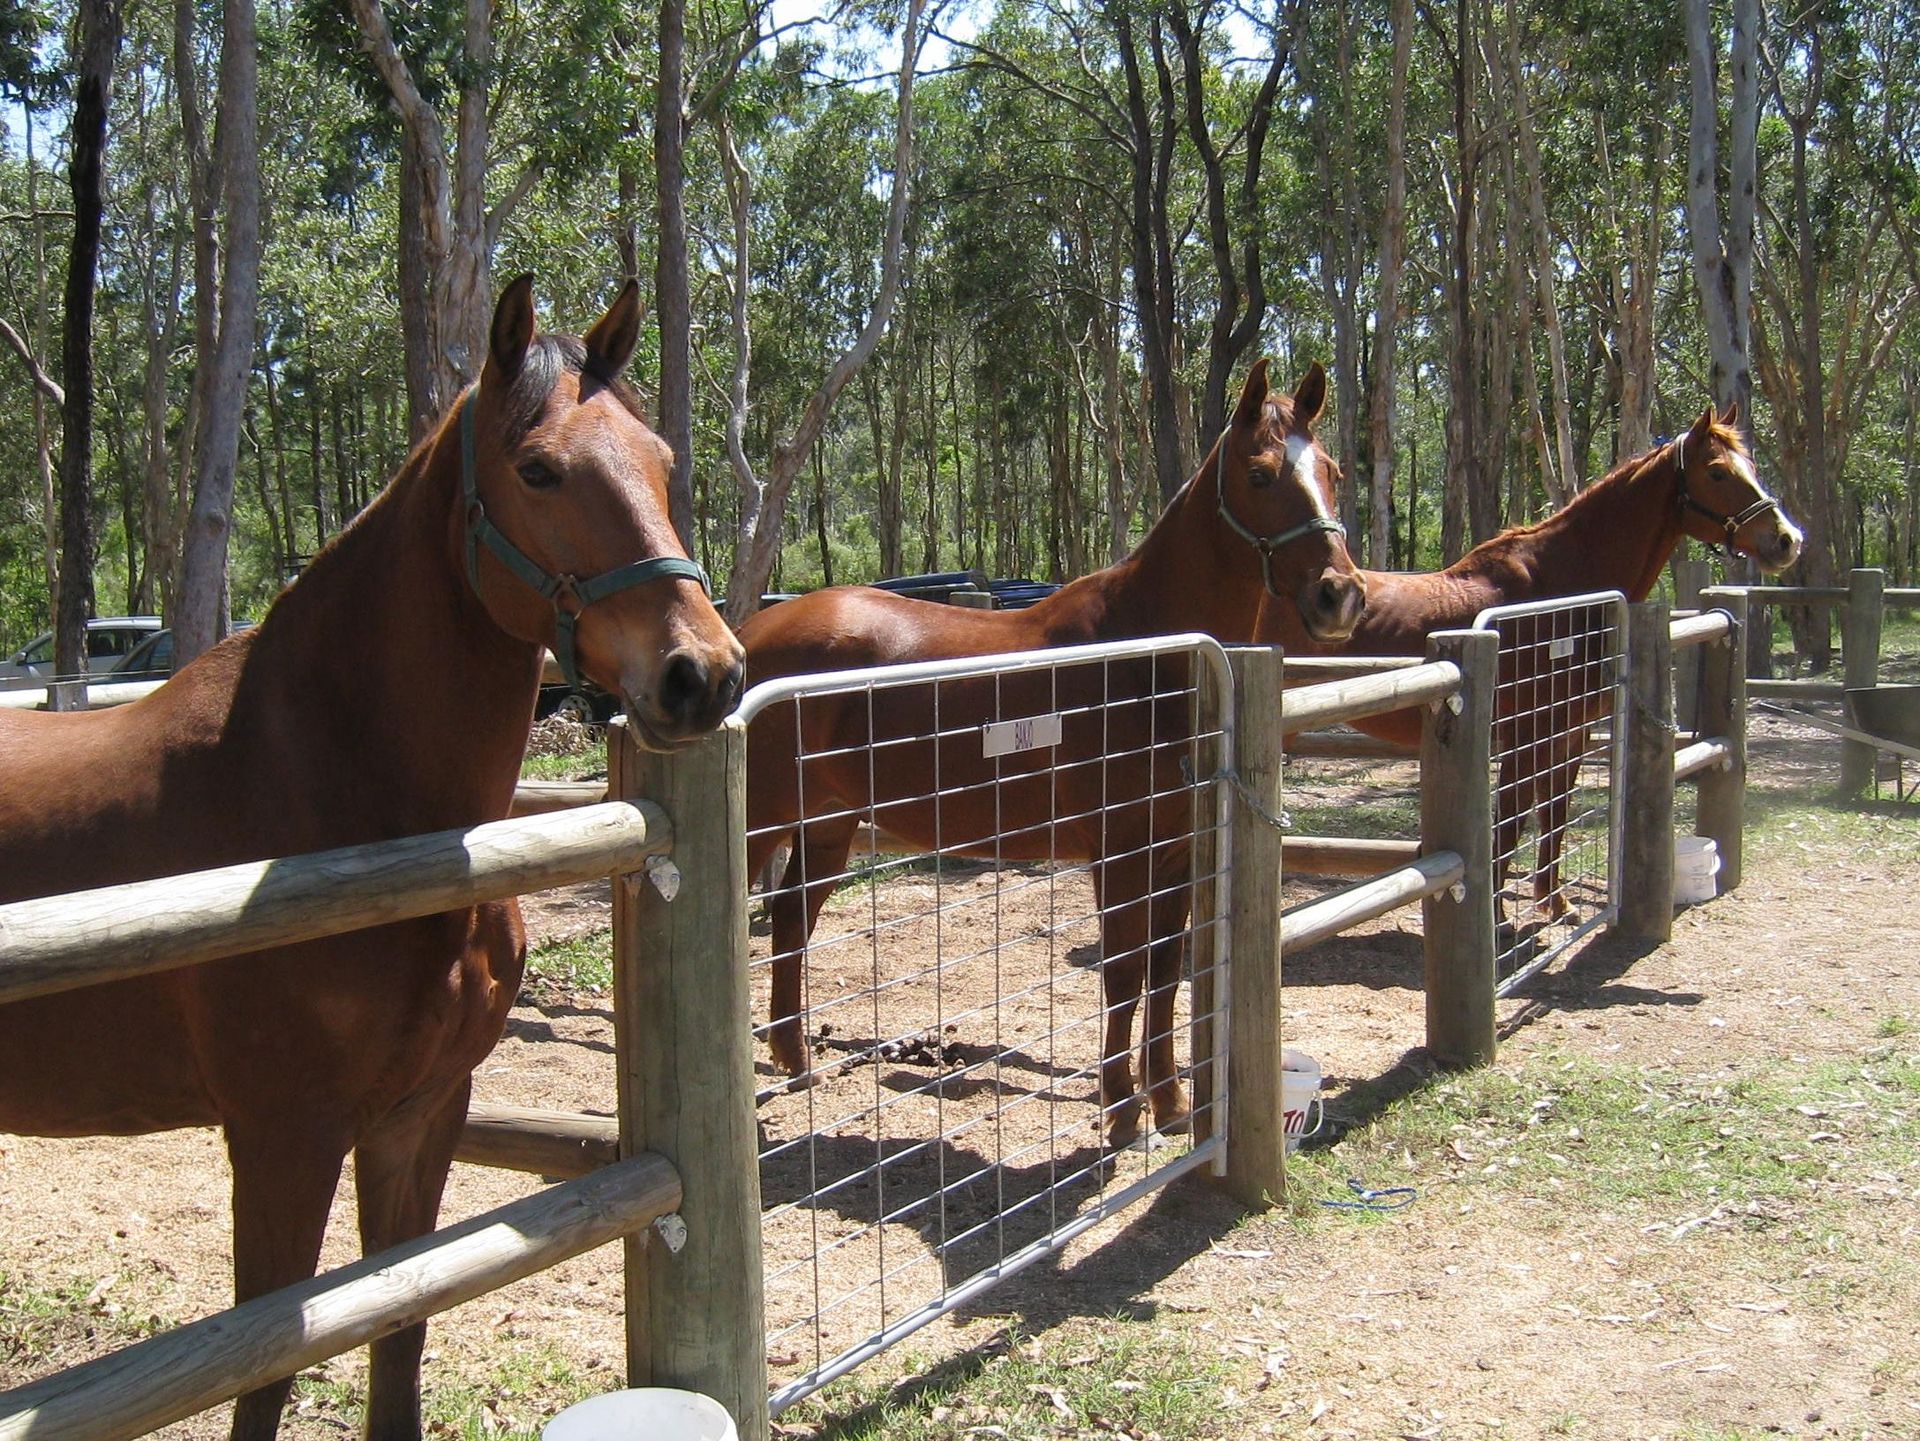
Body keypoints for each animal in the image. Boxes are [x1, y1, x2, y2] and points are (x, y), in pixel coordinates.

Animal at [0, 278, 744, 1440]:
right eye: (538, 469)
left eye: (664, 462)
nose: (702, 675)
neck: (332, 793)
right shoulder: (282, 1140)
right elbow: (262, 1373)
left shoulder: (418, 1115)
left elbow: (399, 1327)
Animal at [740, 360, 1365, 1144]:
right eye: (1259, 474)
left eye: (1334, 472)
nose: (1341, 595)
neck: (1144, 653)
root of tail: (749, 631)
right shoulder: (1119, 852)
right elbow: (1125, 973)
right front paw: (1123, 1111)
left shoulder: (1175, 851)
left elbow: (1165, 972)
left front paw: (1169, 1105)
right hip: (762, 821)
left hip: (828, 819)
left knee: (793, 917)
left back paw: (796, 1062)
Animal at [1259, 403, 1801, 925]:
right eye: (1717, 472)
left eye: (1751, 467)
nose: (1787, 539)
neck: (1558, 592)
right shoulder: (1525, 735)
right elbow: (1511, 822)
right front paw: (1499, 919)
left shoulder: (1570, 732)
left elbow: (1554, 813)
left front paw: (1555, 905)